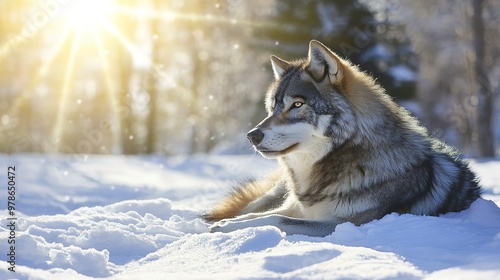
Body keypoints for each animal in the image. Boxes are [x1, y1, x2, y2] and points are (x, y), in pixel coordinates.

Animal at [203, 39, 480, 236]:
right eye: (273, 107)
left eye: (297, 104)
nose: (252, 136)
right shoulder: (295, 206)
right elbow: (256, 217)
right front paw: (226, 225)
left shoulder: (343, 223)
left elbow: (276, 219)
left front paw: (226, 228)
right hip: (274, 193)